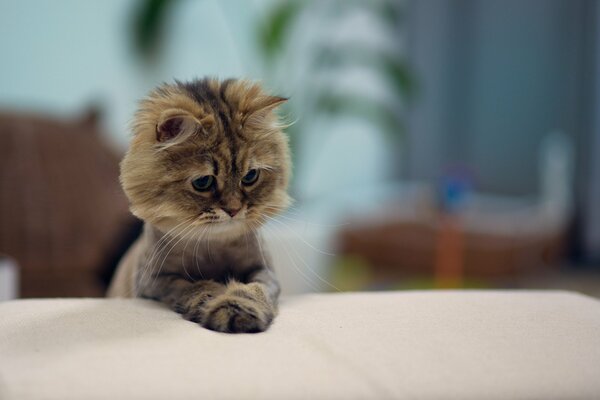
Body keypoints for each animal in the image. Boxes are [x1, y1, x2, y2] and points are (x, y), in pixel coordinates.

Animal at [109, 76, 292, 332]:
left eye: (250, 176)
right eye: (203, 182)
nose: (234, 210)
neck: (212, 245)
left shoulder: (265, 270)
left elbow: (255, 290)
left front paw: (239, 310)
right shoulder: (153, 281)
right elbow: (193, 286)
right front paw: (212, 302)